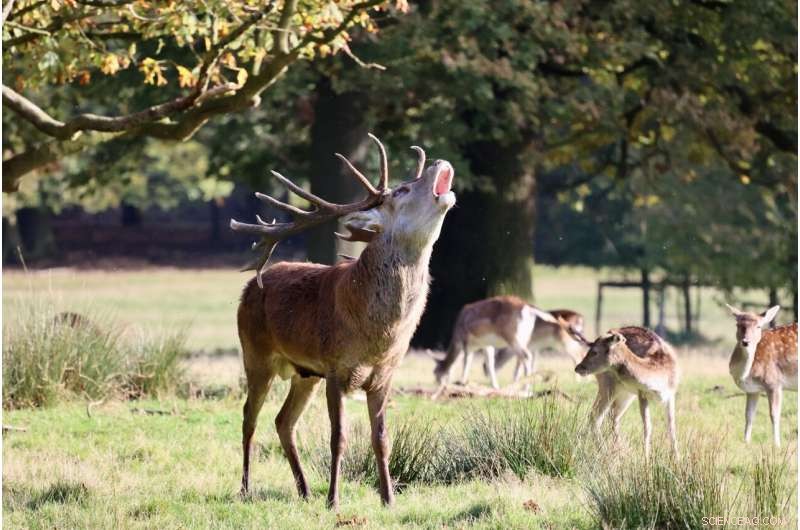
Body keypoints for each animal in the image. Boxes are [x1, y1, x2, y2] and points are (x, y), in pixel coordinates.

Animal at [230, 134, 455, 510]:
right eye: (403, 190)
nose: (440, 161)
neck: (377, 334)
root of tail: (248, 287)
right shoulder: (335, 368)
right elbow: (339, 437)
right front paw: (334, 500)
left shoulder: (384, 374)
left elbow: (381, 438)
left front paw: (388, 499)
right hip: (255, 354)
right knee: (250, 417)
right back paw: (246, 488)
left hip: (305, 374)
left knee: (283, 421)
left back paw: (304, 489)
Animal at [562, 321, 680, 458]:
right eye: (590, 350)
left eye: (595, 352)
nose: (578, 367)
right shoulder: (642, 393)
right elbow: (647, 427)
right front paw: (646, 459)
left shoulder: (671, 394)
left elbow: (671, 427)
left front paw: (677, 459)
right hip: (608, 386)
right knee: (596, 417)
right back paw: (605, 452)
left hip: (626, 393)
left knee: (613, 417)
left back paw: (618, 451)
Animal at [725, 304, 798, 446]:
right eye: (738, 325)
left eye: (758, 326)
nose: (746, 341)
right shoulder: (753, 390)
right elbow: (749, 415)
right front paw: (746, 442)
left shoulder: (774, 382)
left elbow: (774, 414)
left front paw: (777, 445)